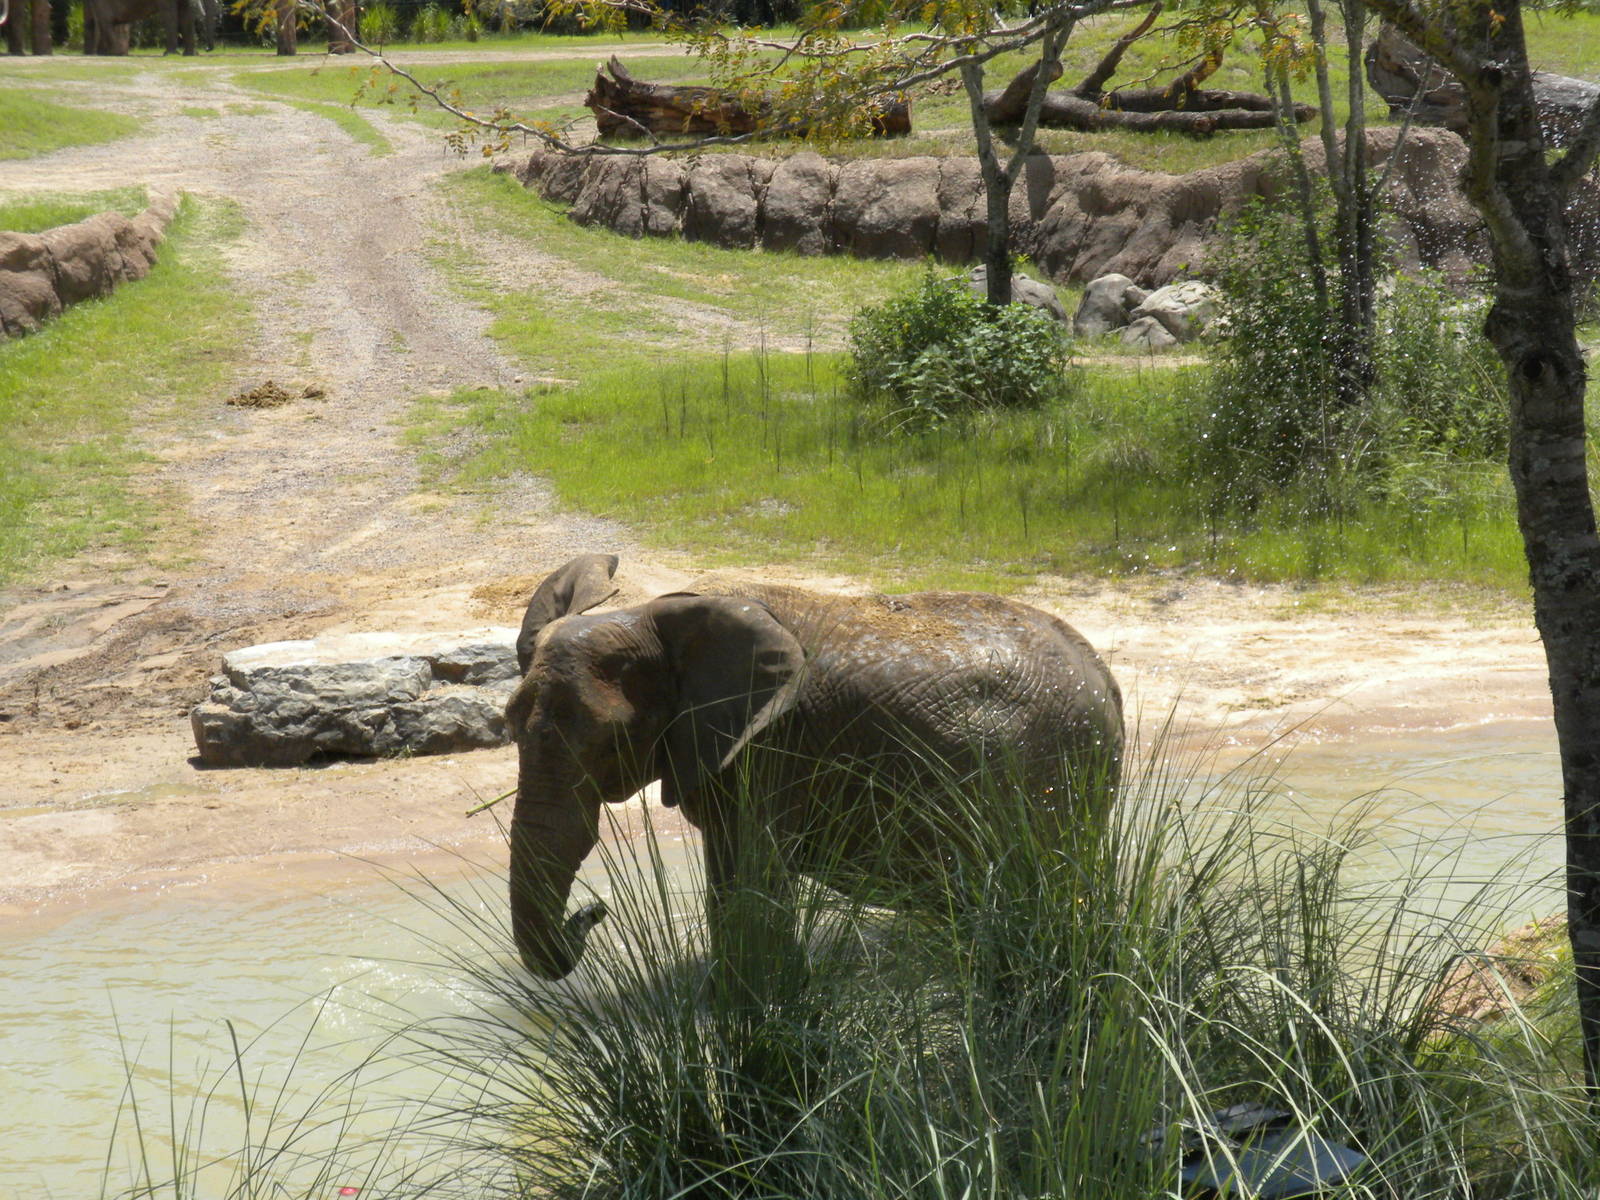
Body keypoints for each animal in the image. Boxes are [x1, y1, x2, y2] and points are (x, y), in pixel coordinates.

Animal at [506, 554, 1125, 984]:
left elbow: (754, 879)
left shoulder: (773, 745)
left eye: (608, 741)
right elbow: (731, 878)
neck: (651, 608)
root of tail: (1103, 672)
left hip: (1060, 768)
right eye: (509, 723)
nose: (594, 910)